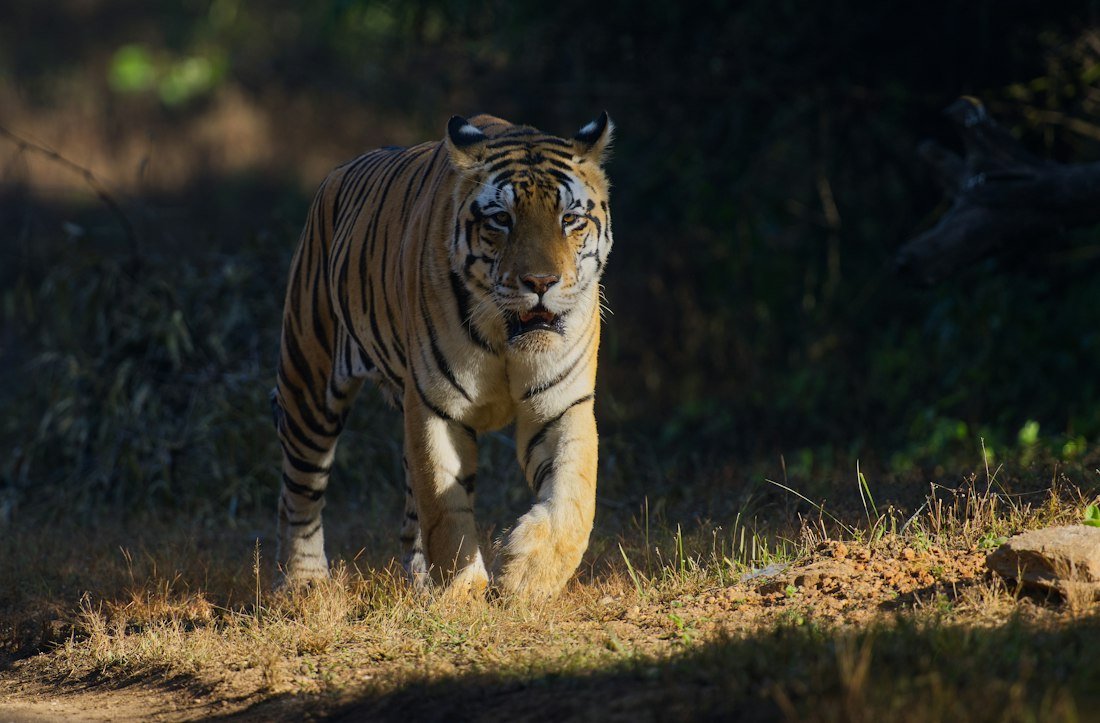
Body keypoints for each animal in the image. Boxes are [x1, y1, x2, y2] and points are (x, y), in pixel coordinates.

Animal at [271, 112, 614, 599]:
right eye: (501, 220)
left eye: (569, 219)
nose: (541, 282)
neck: (505, 338)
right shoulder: (438, 408)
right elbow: (445, 508)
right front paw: (462, 594)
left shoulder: (562, 404)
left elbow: (574, 496)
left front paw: (527, 573)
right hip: (308, 381)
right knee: (298, 493)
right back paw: (305, 584)